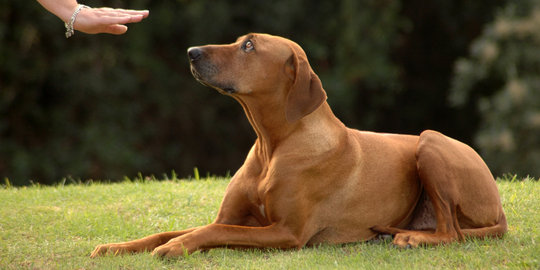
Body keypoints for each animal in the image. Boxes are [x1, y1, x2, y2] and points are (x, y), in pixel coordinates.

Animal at [89, 33, 506, 258]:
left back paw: (411, 238)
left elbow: (210, 233)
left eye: (249, 46)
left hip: (430, 142)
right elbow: (171, 231)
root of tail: (499, 207)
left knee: (452, 232)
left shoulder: (286, 232)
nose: (192, 52)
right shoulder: (231, 217)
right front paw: (116, 247)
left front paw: (177, 248)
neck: (272, 145)